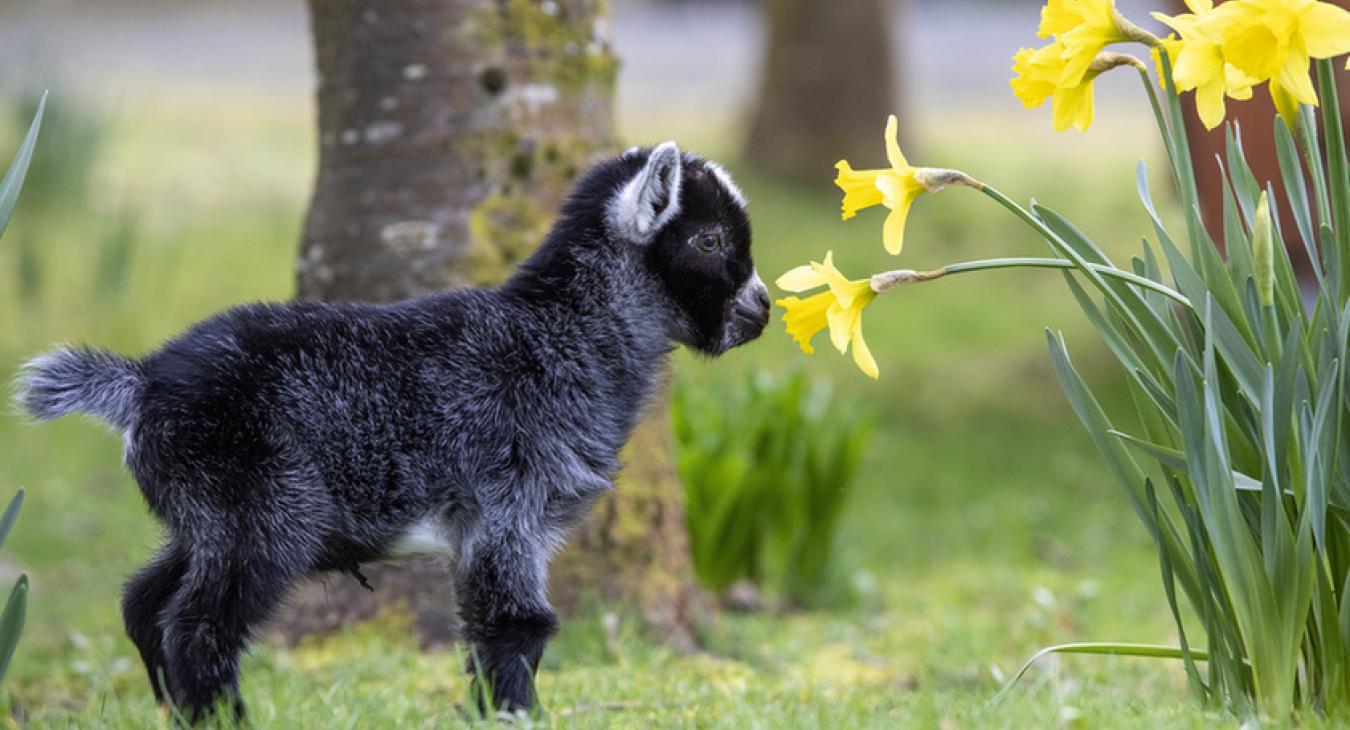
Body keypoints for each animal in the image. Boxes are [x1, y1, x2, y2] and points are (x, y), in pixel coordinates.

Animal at [13, 142, 772, 717]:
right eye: (709, 240)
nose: (761, 308)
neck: (560, 335)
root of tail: (142, 385)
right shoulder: (511, 503)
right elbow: (516, 626)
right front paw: (517, 714)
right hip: (263, 507)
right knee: (197, 628)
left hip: (209, 511)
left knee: (144, 601)